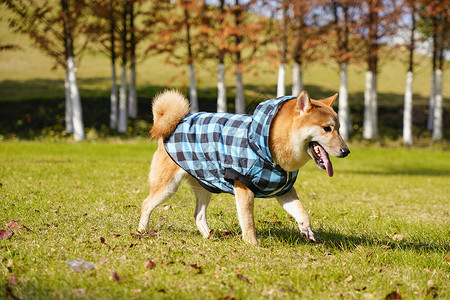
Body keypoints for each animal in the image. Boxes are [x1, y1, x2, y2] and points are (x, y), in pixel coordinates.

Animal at [139, 90, 350, 245]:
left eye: (339, 129)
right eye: (327, 128)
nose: (346, 151)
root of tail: (174, 123)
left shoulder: (284, 189)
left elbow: (302, 212)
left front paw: (306, 230)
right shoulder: (243, 185)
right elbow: (248, 221)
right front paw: (252, 244)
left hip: (205, 184)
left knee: (198, 215)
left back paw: (209, 236)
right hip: (168, 187)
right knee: (146, 204)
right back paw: (141, 231)